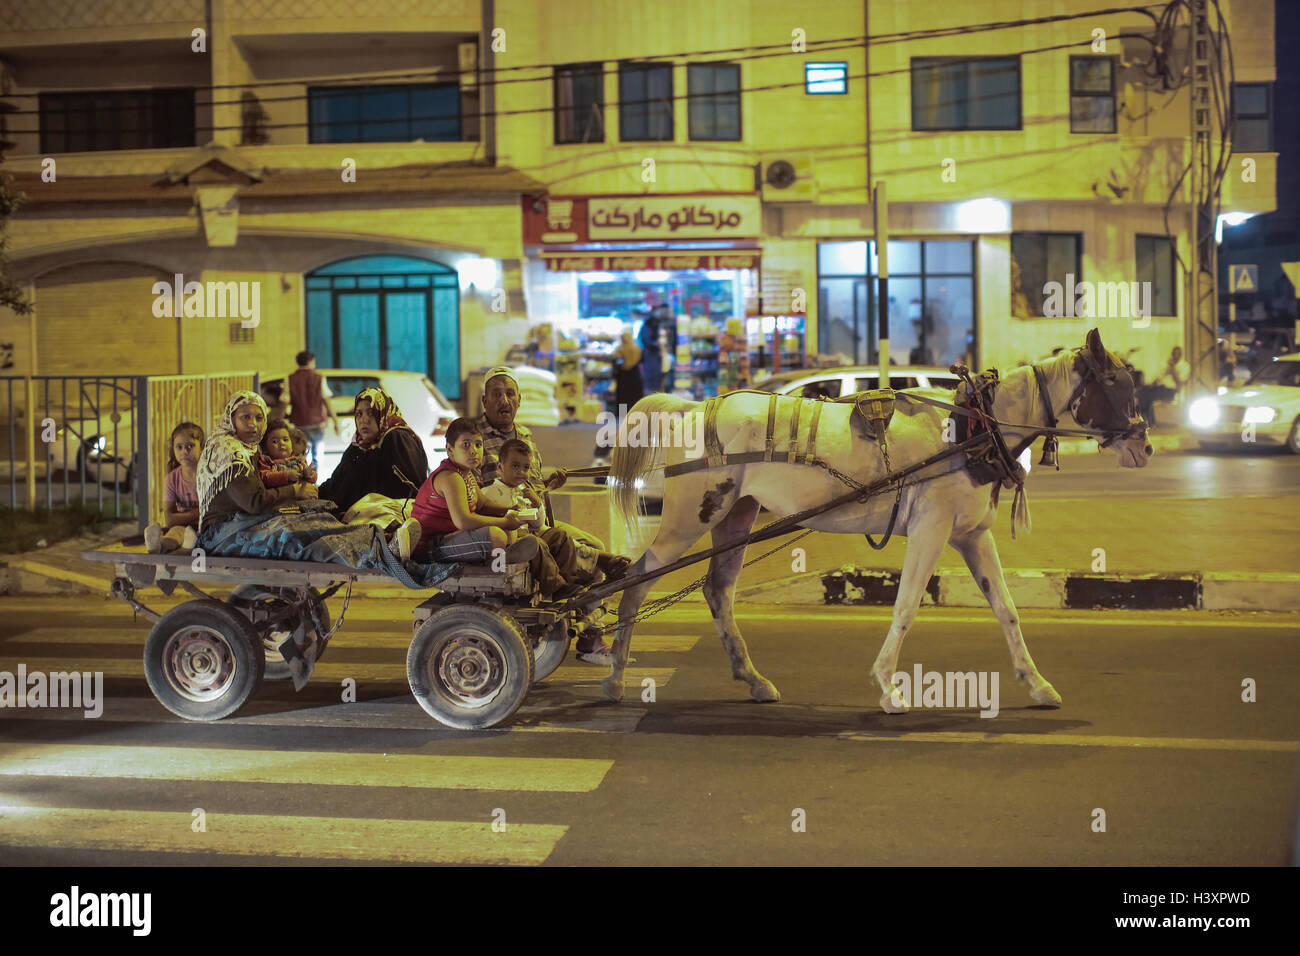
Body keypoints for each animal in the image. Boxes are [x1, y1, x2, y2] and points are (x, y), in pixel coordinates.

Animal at [603, 329, 1154, 712]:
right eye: (1114, 382)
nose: (1145, 446)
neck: (974, 428)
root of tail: (695, 406)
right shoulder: (932, 530)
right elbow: (906, 606)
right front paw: (888, 687)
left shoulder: (972, 535)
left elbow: (1006, 609)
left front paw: (1036, 684)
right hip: (688, 519)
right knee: (636, 580)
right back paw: (615, 678)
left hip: (736, 516)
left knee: (718, 589)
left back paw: (752, 679)